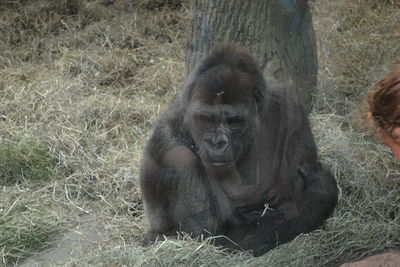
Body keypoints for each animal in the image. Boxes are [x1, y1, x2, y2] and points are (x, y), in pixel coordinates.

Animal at [140, 44, 338, 258]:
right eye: (206, 118)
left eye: (232, 121)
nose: (215, 142)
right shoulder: (174, 152)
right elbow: (213, 240)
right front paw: (322, 188)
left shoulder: (289, 106)